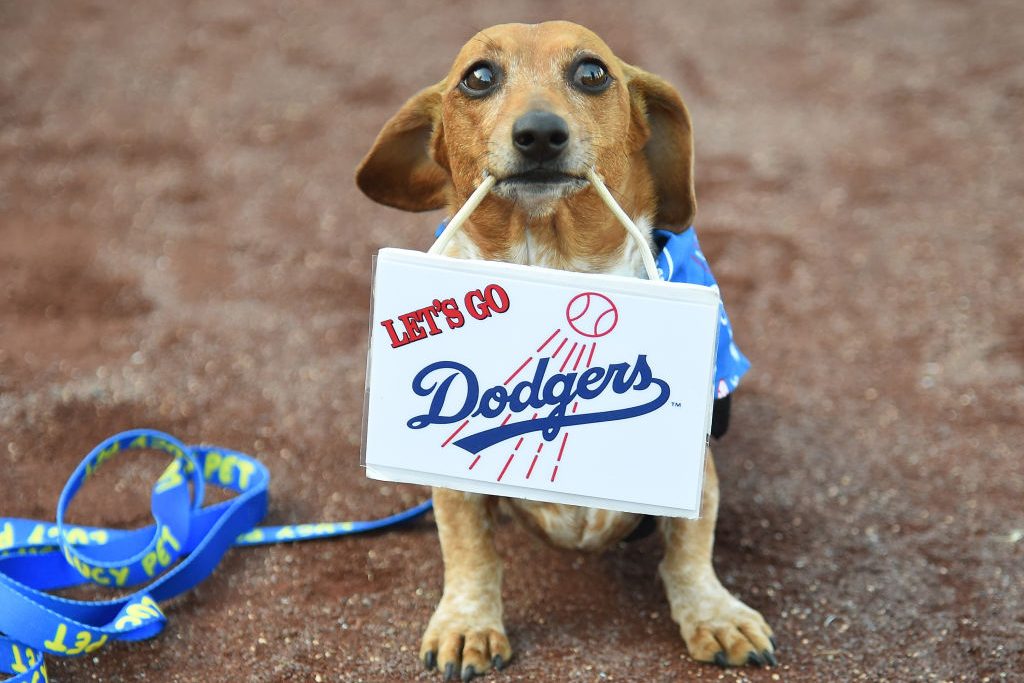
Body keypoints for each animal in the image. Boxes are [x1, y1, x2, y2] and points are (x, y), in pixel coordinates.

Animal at [356, 20, 770, 679]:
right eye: (478, 76)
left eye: (592, 72)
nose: (540, 134)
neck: (551, 263)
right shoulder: (453, 482)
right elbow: (469, 548)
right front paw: (468, 625)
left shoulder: (694, 467)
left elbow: (689, 546)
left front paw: (714, 614)